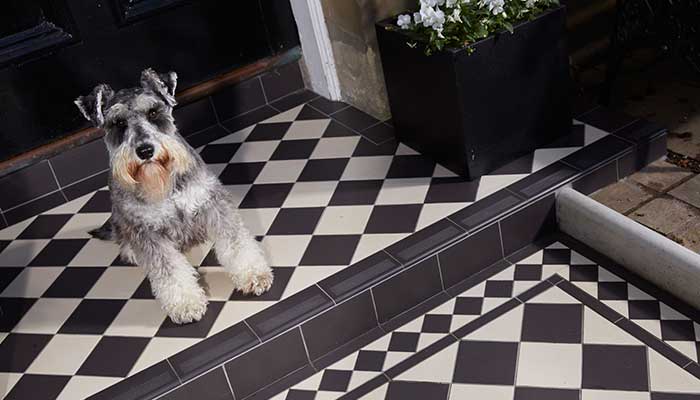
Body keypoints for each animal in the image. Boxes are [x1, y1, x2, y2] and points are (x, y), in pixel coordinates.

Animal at [76, 69, 274, 324]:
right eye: (118, 123)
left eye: (153, 112)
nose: (145, 151)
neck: (163, 183)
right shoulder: (146, 231)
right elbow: (168, 271)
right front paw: (186, 304)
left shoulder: (212, 203)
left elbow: (236, 242)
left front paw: (253, 275)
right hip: (120, 219)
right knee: (123, 238)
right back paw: (130, 251)